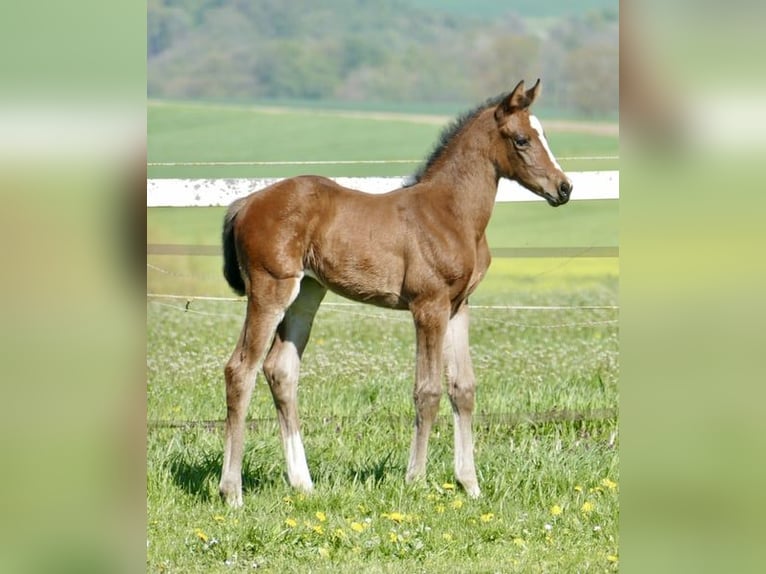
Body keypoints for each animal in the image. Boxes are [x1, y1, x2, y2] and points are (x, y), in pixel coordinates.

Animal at [218, 79, 572, 507]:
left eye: (543, 134)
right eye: (521, 139)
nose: (564, 188)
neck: (451, 213)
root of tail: (245, 202)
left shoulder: (458, 306)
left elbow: (463, 389)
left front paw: (470, 485)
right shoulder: (428, 306)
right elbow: (428, 391)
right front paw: (415, 480)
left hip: (306, 295)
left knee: (280, 370)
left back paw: (303, 483)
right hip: (270, 289)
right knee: (241, 370)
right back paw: (231, 491)